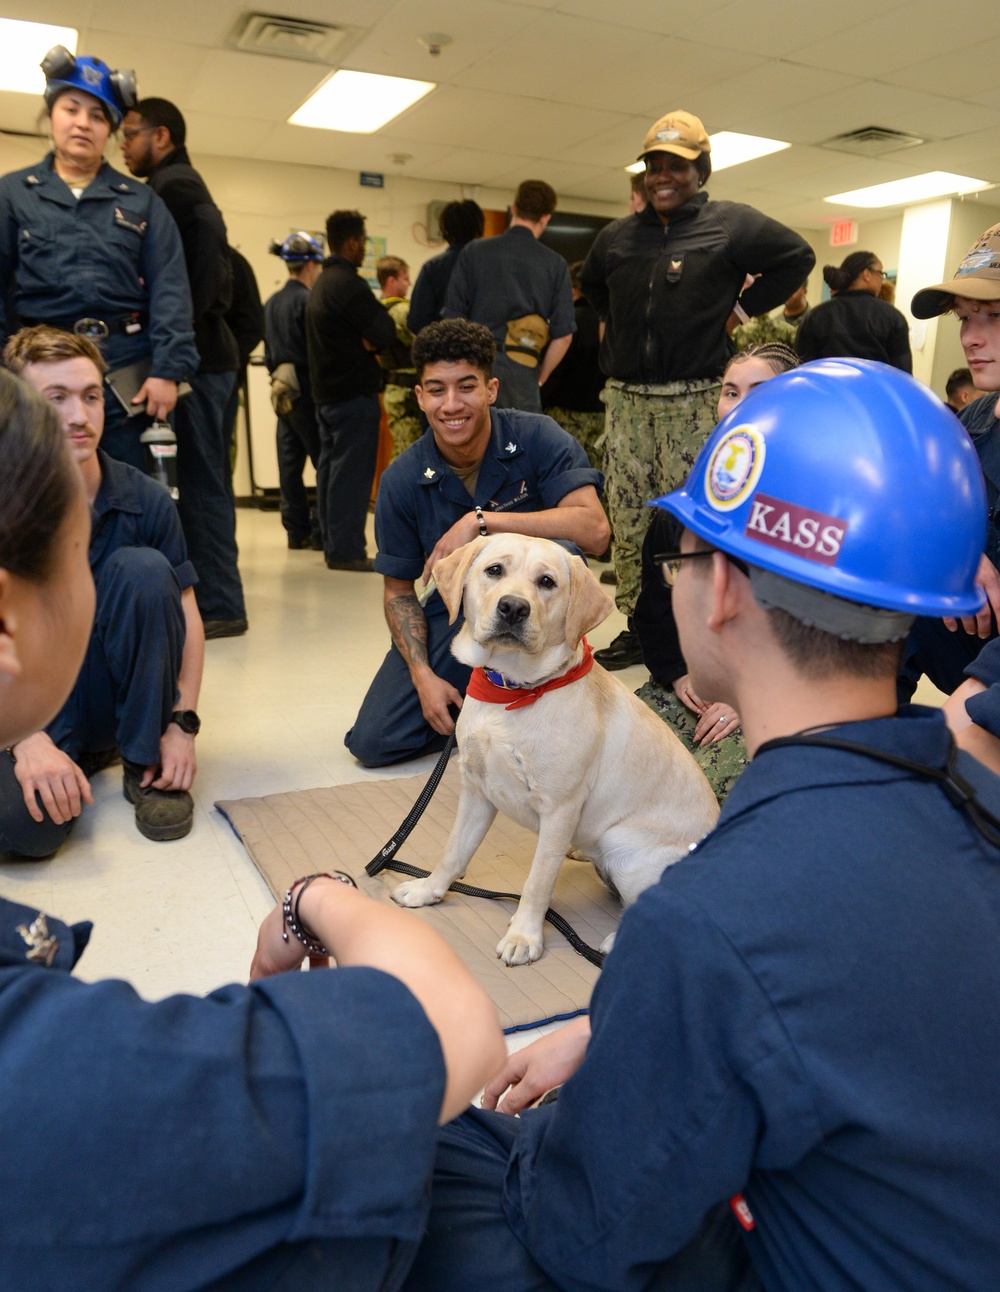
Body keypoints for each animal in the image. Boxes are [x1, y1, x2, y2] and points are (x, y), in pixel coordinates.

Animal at [392, 529, 718, 966]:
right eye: (494, 570)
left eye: (546, 582)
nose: (513, 608)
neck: (513, 691)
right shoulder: (477, 790)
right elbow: (453, 851)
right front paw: (429, 890)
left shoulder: (560, 808)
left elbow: (538, 881)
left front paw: (524, 935)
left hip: (624, 846)